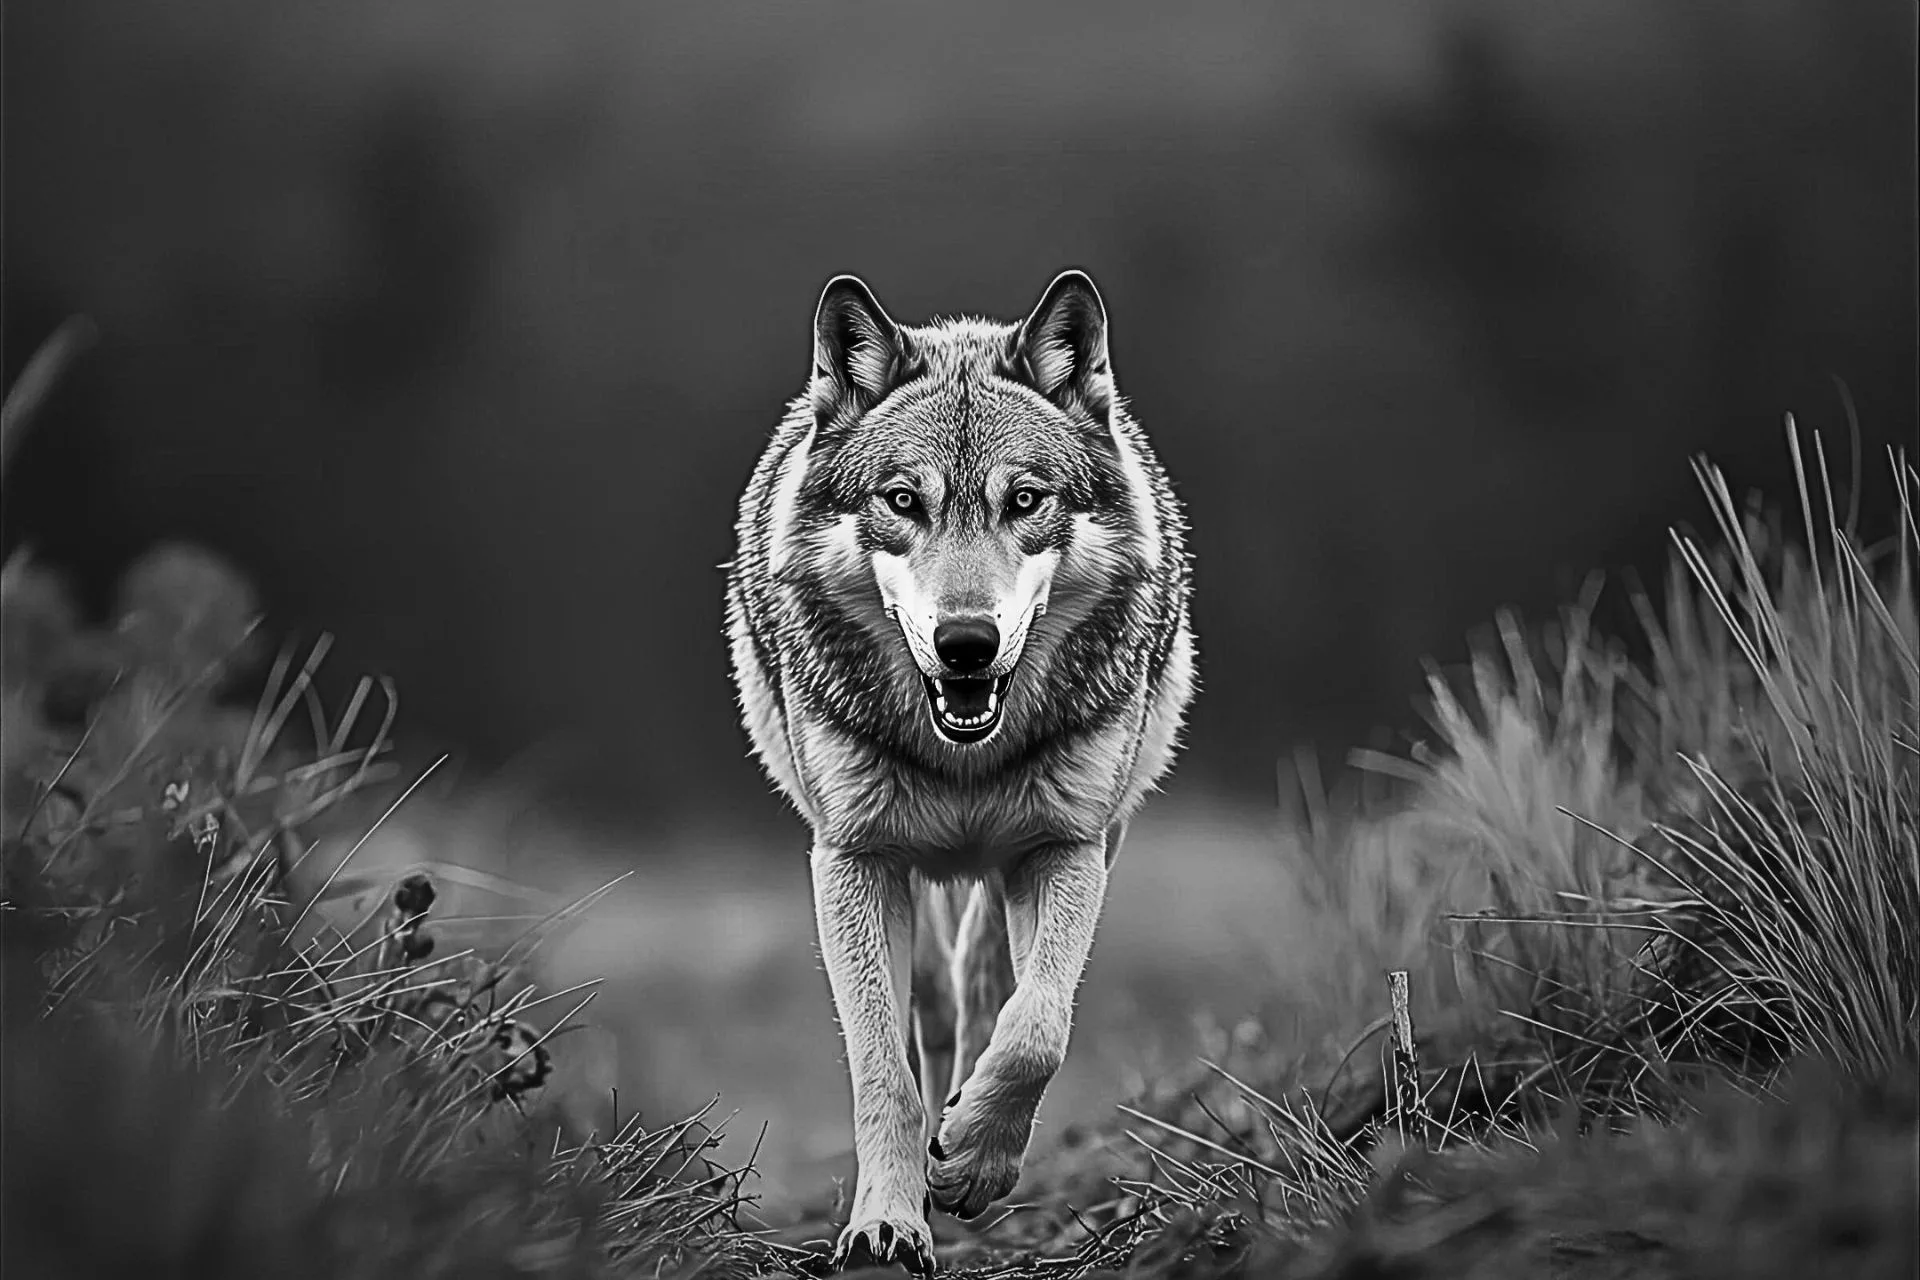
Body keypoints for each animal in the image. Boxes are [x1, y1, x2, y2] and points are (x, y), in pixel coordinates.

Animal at [725, 269, 1196, 1274]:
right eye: (904, 501)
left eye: (1025, 501)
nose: (967, 642)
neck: (963, 758)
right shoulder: (853, 862)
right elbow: (881, 1067)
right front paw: (887, 1223)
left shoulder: (1065, 849)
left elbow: (1038, 1027)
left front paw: (974, 1158)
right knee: (937, 1005)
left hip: (1062, 845)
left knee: (988, 986)